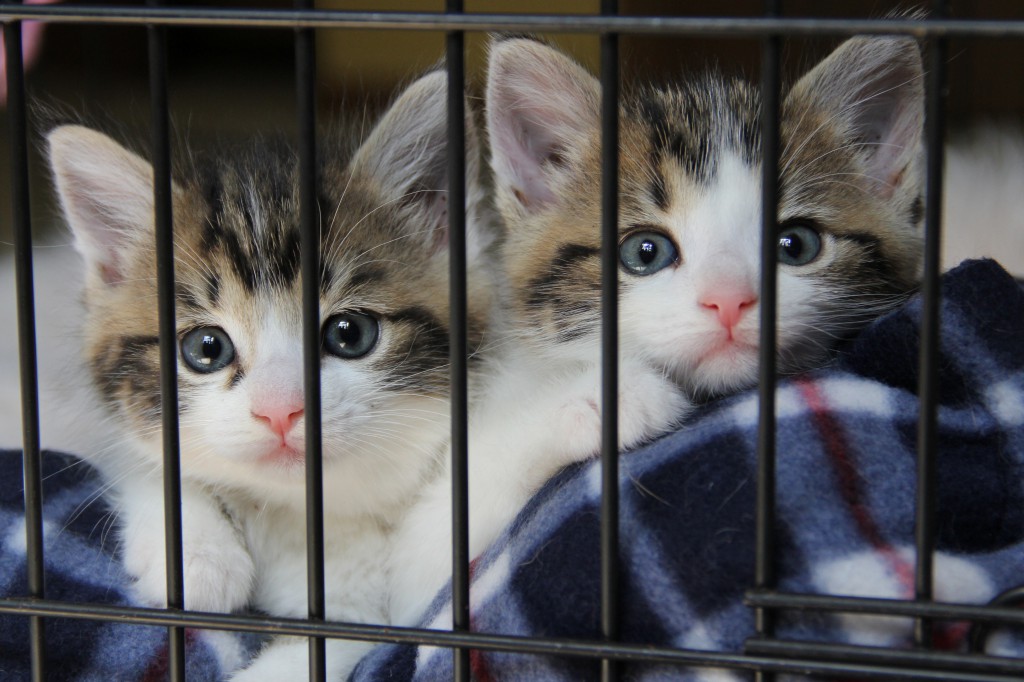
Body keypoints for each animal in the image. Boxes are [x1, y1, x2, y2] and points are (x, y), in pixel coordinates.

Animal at [48, 70, 495, 679]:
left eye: (349, 334)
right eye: (205, 348)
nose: (281, 409)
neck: (296, 514)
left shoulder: (369, 615)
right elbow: (138, 458)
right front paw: (199, 558)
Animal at [385, 34, 929, 622]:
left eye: (796, 244)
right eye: (645, 252)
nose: (729, 299)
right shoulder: (410, 576)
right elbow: (431, 543)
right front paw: (609, 399)